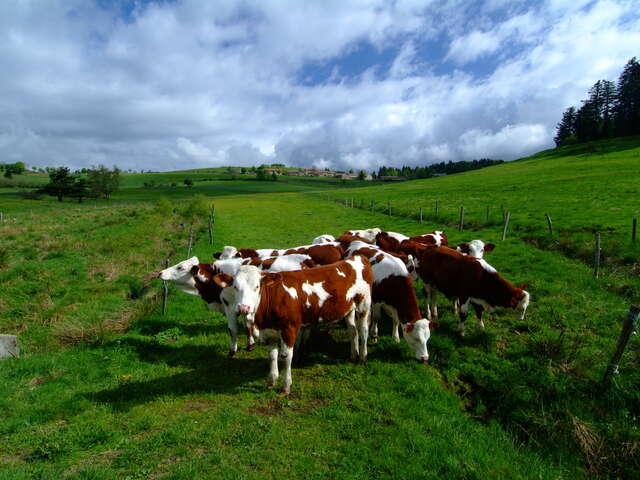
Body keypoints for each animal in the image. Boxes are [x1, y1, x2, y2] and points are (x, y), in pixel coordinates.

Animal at [158, 255, 318, 356]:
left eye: (180, 267)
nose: (160, 272)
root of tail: (306, 261)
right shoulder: (244, 305)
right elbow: (247, 325)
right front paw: (251, 343)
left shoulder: (230, 306)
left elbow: (233, 329)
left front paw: (232, 350)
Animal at [214, 255, 376, 394]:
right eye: (235, 287)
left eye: (257, 286)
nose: (244, 308)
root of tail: (357, 257)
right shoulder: (269, 332)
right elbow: (272, 355)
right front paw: (271, 381)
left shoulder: (289, 329)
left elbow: (286, 357)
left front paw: (286, 387)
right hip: (348, 308)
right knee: (352, 331)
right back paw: (353, 355)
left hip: (364, 304)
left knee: (363, 330)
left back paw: (363, 357)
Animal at [400, 242, 528, 336]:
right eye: (521, 308)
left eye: (526, 308)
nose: (522, 319)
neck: (481, 276)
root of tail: (429, 248)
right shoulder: (464, 295)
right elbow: (464, 314)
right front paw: (461, 331)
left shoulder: (477, 297)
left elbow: (479, 312)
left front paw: (481, 326)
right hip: (427, 280)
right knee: (426, 295)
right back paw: (429, 313)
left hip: (435, 282)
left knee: (434, 294)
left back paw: (435, 311)